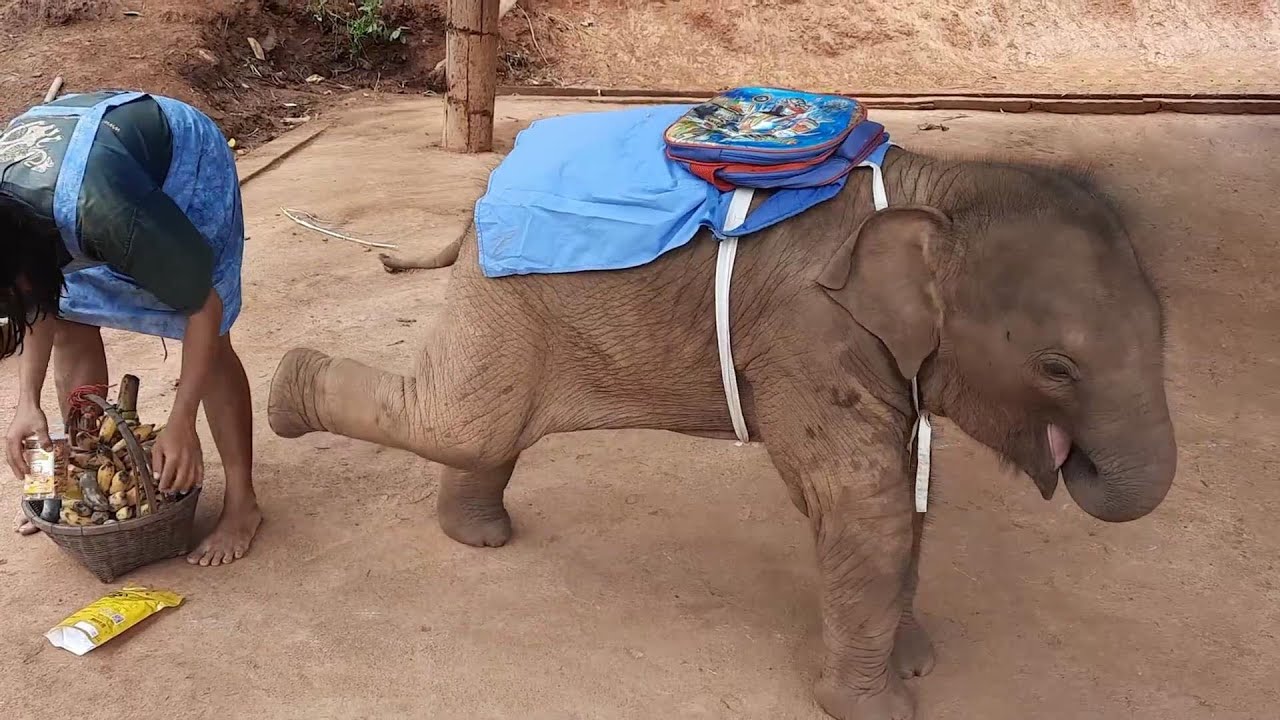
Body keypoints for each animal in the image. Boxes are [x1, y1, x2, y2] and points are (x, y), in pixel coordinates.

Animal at [267, 146, 1176, 720]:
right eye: (1057, 367)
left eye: (1164, 331)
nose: (1076, 462)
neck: (932, 189)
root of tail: (481, 194)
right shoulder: (811, 334)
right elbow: (863, 498)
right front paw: (881, 707)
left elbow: (907, 489)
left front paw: (913, 658)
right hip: (506, 284)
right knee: (460, 419)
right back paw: (285, 389)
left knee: (483, 425)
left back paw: (477, 536)